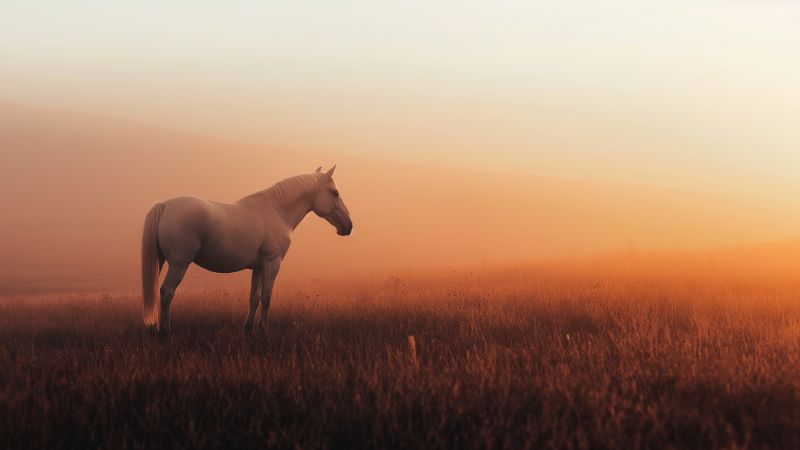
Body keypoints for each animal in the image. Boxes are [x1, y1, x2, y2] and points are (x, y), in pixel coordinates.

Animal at [141, 165, 353, 335]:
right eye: (335, 193)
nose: (349, 226)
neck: (277, 210)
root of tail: (164, 205)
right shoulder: (272, 263)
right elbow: (267, 297)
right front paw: (263, 329)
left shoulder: (258, 267)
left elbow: (254, 298)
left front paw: (249, 327)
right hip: (179, 264)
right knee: (167, 292)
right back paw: (166, 331)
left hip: (163, 262)